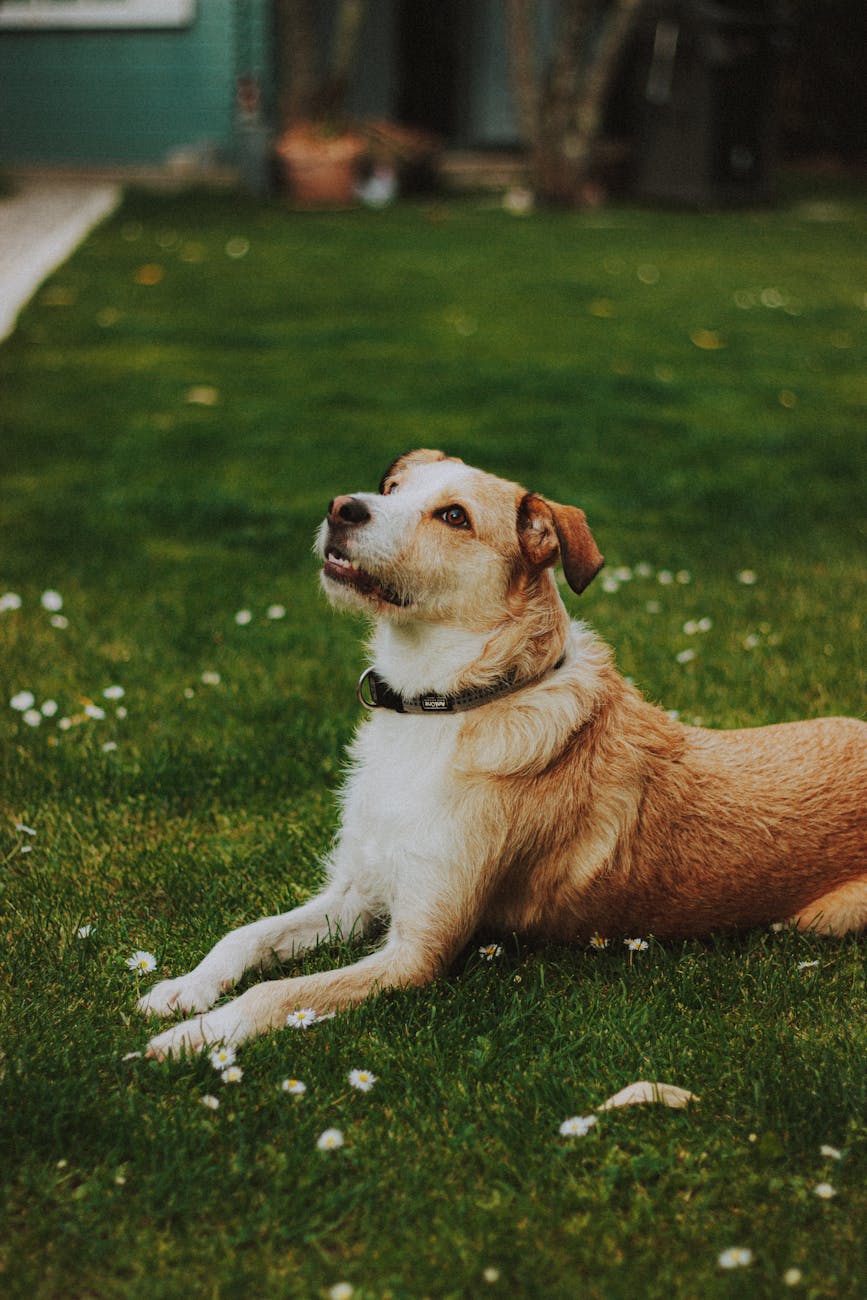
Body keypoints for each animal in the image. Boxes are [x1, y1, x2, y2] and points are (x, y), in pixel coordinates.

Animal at [139, 447, 863, 1055]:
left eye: (453, 516)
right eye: (391, 489)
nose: (342, 507)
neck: (445, 704)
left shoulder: (416, 954)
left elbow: (276, 992)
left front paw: (197, 1037)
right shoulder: (358, 893)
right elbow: (248, 934)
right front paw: (184, 989)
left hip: (822, 922)